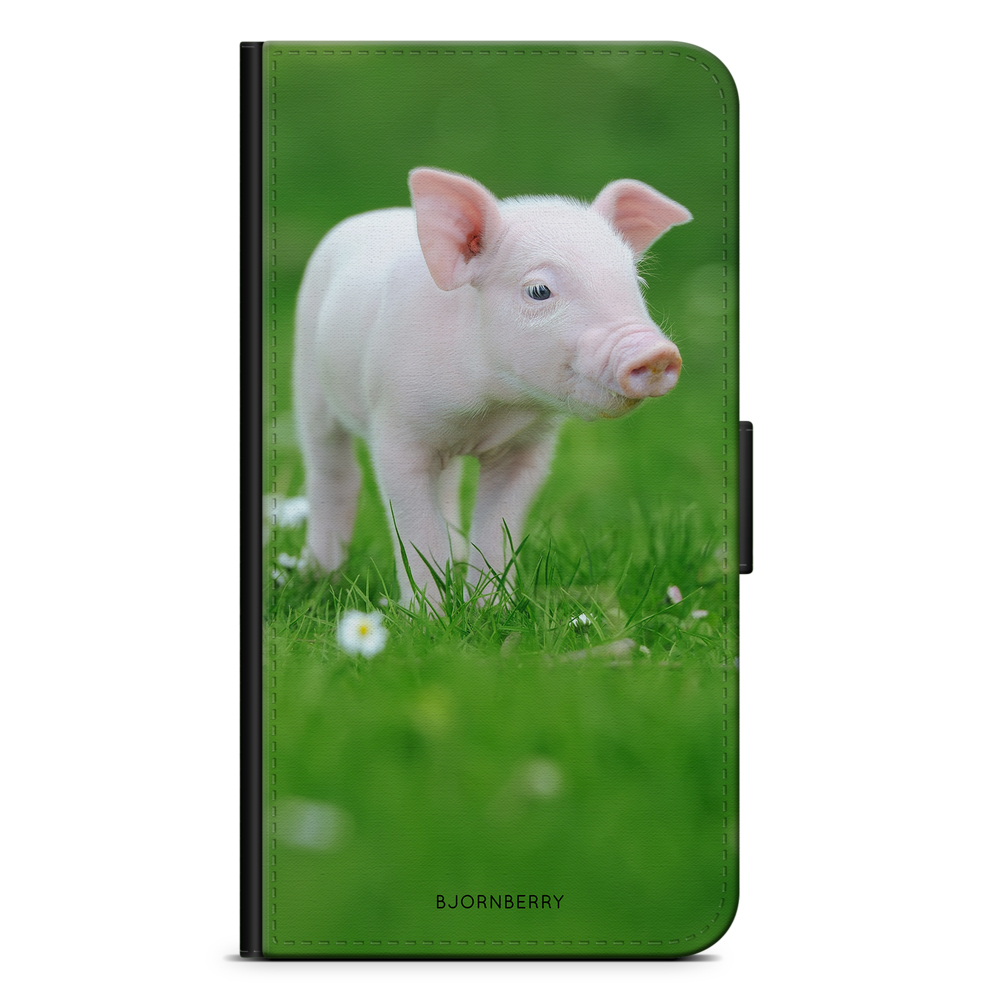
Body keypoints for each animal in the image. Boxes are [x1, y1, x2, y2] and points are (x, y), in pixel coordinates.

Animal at [294, 167, 691, 606]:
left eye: (636, 281)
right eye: (539, 290)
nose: (656, 353)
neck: (488, 408)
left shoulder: (527, 448)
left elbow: (498, 528)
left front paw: (491, 610)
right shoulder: (397, 433)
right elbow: (415, 529)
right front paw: (428, 615)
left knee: (447, 488)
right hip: (309, 380)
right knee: (333, 473)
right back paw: (319, 577)